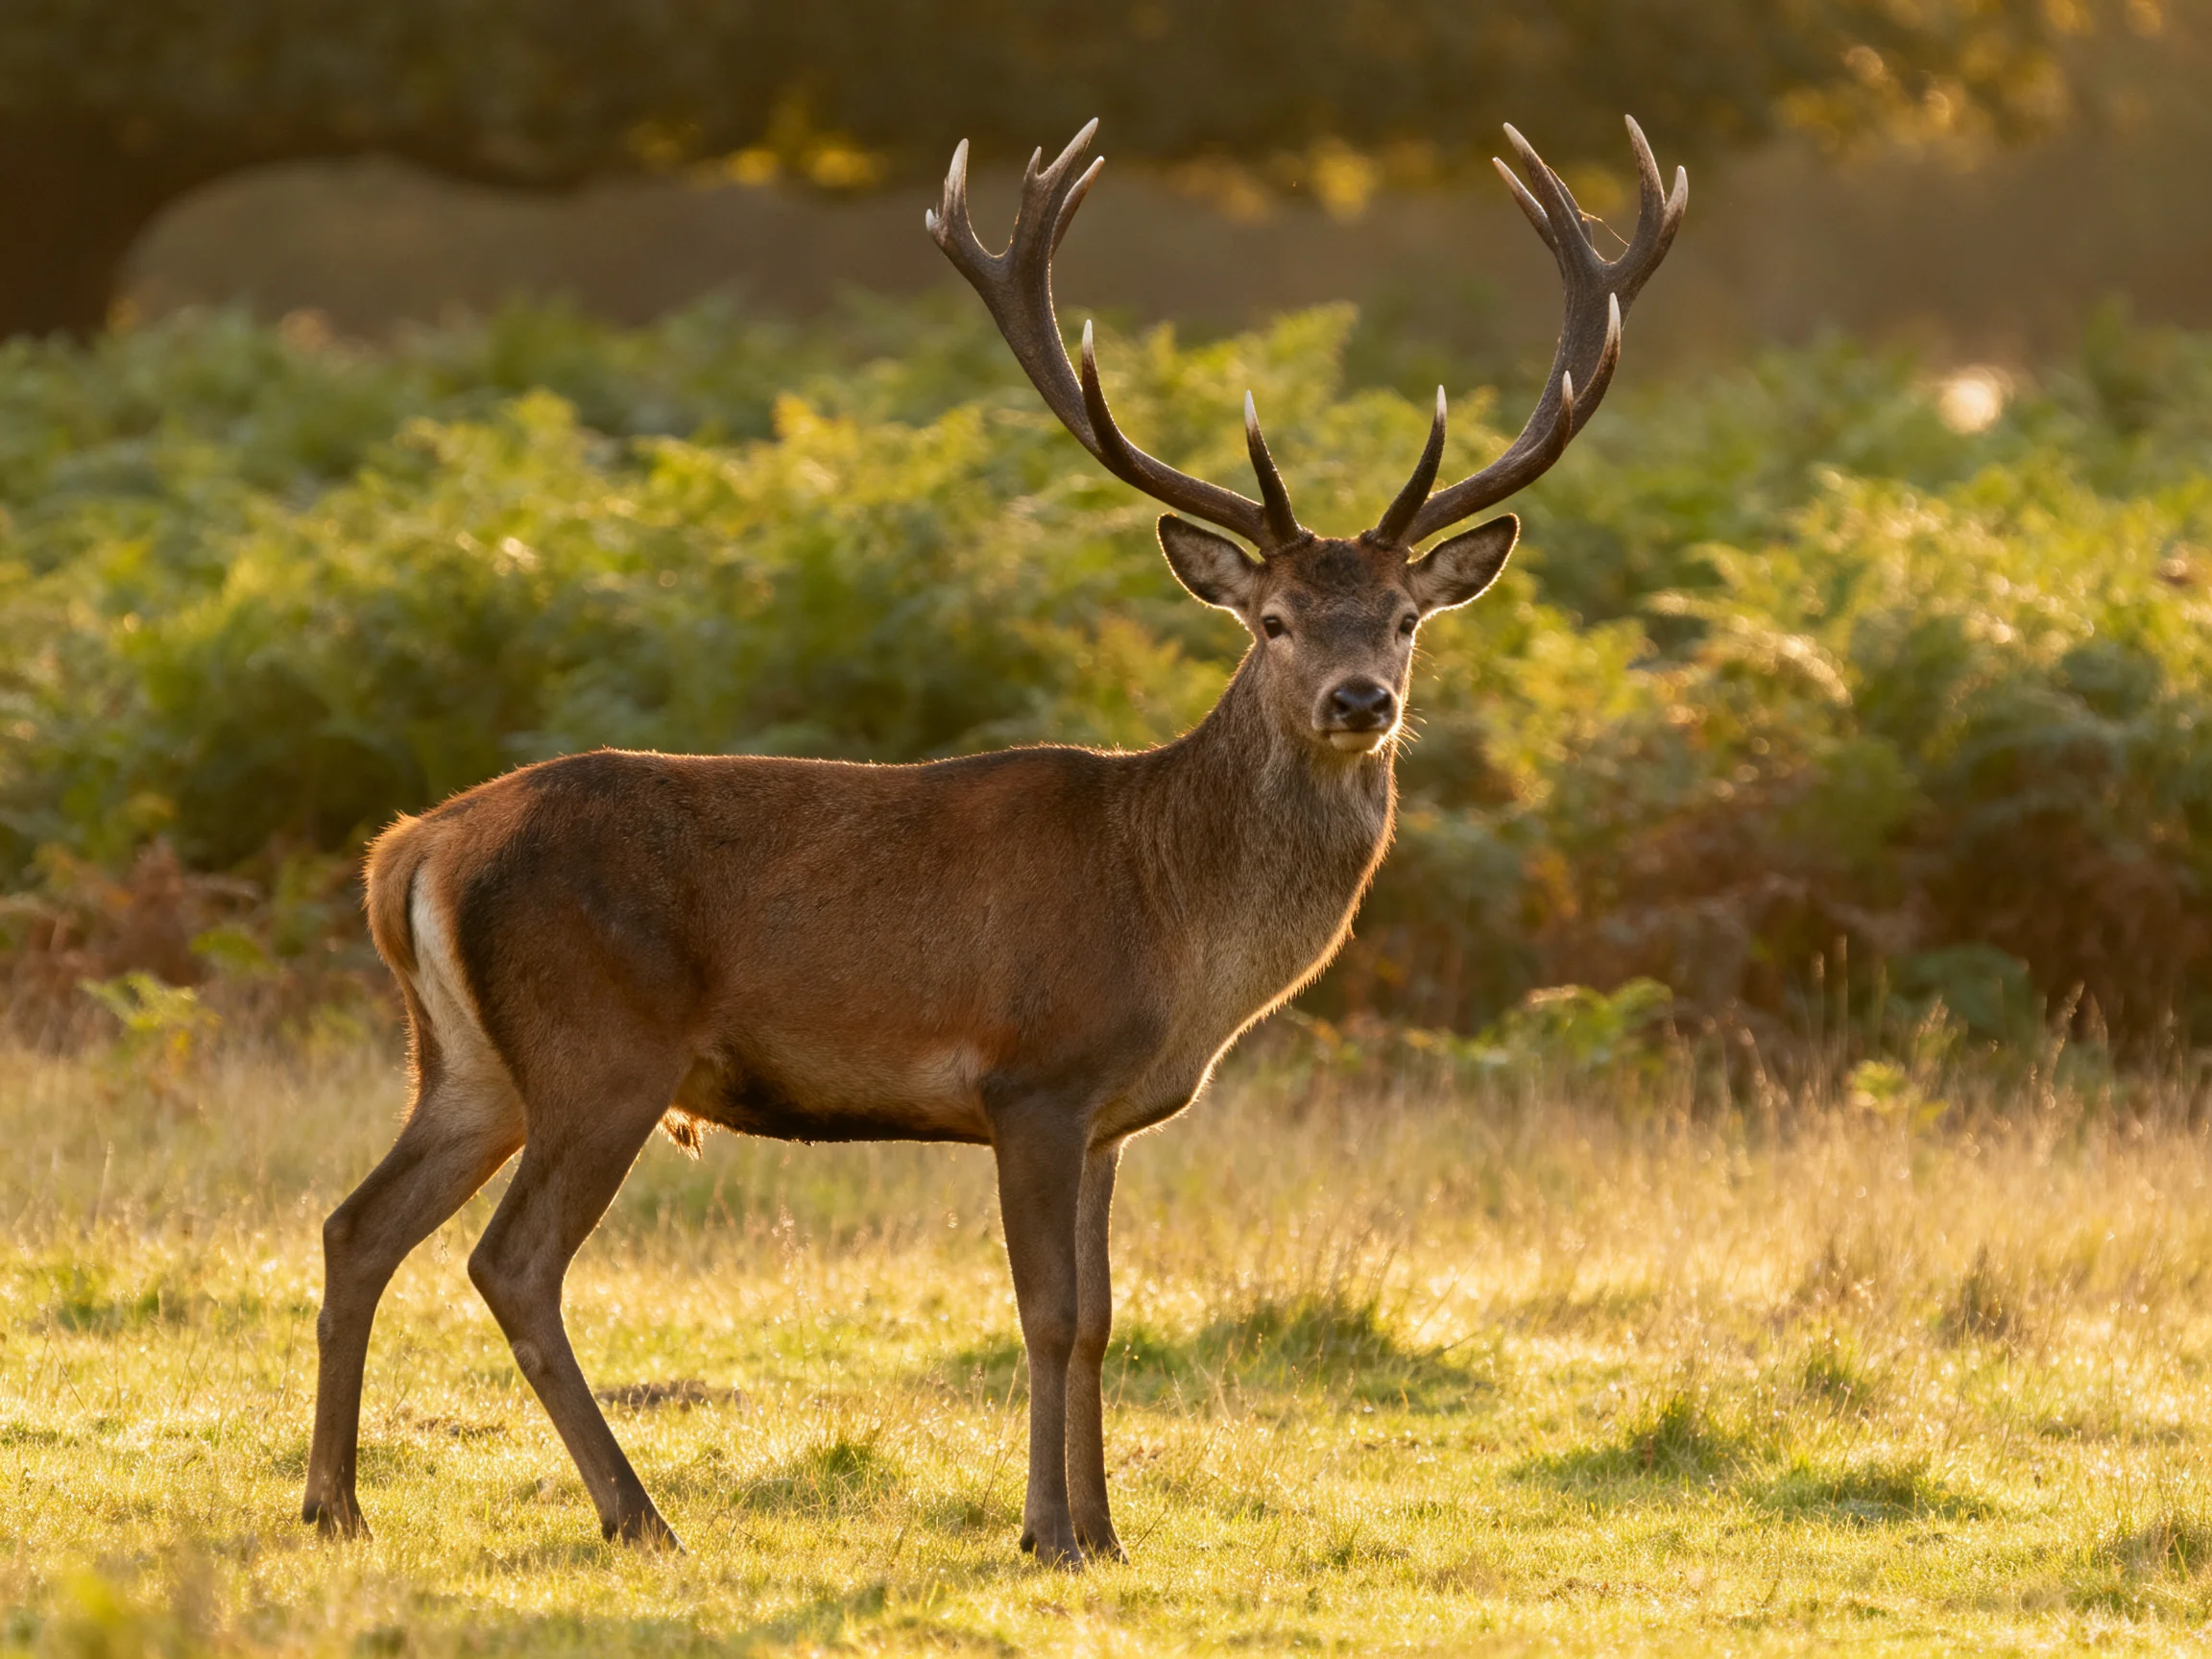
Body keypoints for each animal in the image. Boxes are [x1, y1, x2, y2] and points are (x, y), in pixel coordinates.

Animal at [300, 116, 1683, 1565]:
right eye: (1275, 622)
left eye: (1408, 619)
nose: (1361, 701)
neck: (1179, 935)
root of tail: (409, 850)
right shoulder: (1033, 1077)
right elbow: (1048, 1312)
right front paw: (1052, 1531)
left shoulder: (1113, 1116)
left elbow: (1106, 1318)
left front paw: (1103, 1529)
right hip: (600, 1050)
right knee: (509, 1261)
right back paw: (636, 1514)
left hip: (466, 1064)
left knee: (354, 1227)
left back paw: (336, 1501)